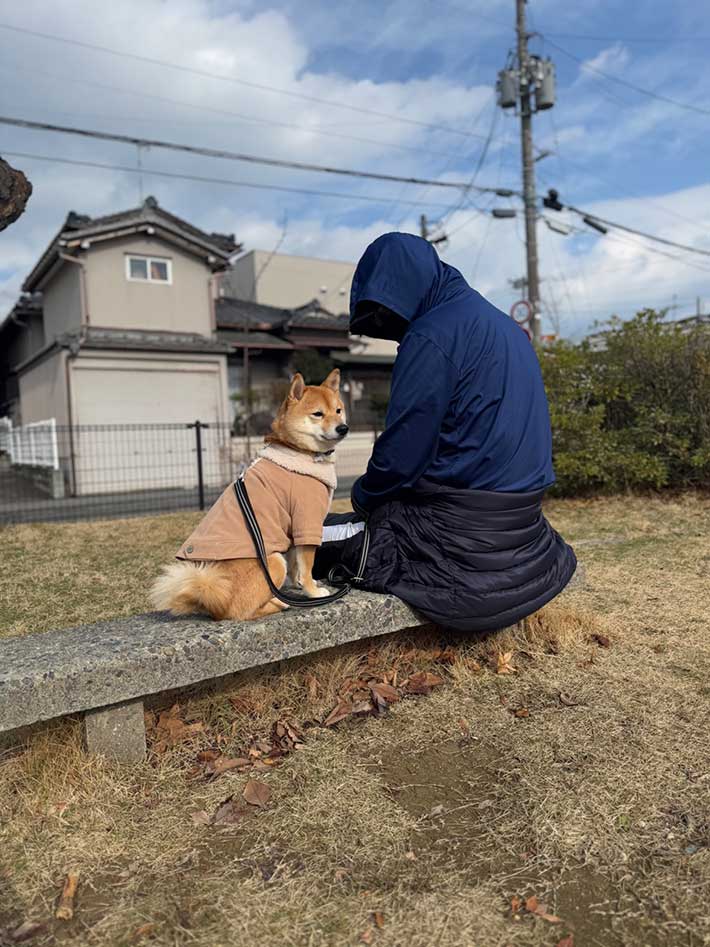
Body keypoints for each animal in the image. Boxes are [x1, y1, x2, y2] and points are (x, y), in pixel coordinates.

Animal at [151, 370, 350, 624]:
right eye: (318, 414)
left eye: (338, 410)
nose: (343, 428)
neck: (299, 452)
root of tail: (214, 598)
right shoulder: (306, 522)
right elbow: (306, 565)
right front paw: (312, 591)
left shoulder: (293, 531)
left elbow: (297, 565)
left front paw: (301, 585)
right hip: (272, 562)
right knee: (240, 611)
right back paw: (278, 603)